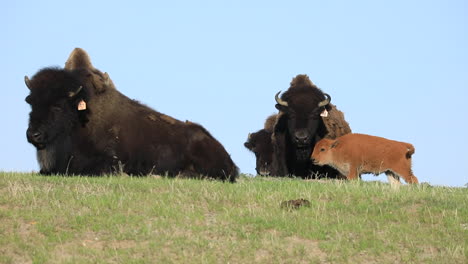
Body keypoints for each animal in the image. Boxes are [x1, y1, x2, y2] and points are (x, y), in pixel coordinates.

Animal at [25, 47, 238, 182]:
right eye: (31, 103)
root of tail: (228, 158)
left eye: (58, 106)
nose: (33, 135)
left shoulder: (109, 162)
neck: (80, 116)